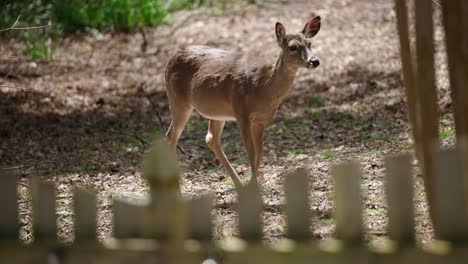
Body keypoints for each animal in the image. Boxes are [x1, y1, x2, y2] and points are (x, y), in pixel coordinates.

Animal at [165, 16, 322, 190]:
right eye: (292, 47)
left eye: (309, 43)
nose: (314, 61)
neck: (262, 87)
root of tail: (171, 58)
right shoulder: (242, 112)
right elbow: (251, 153)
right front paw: (255, 189)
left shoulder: (262, 119)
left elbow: (259, 152)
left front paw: (253, 185)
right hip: (178, 100)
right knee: (171, 135)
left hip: (216, 113)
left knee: (211, 139)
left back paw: (239, 186)